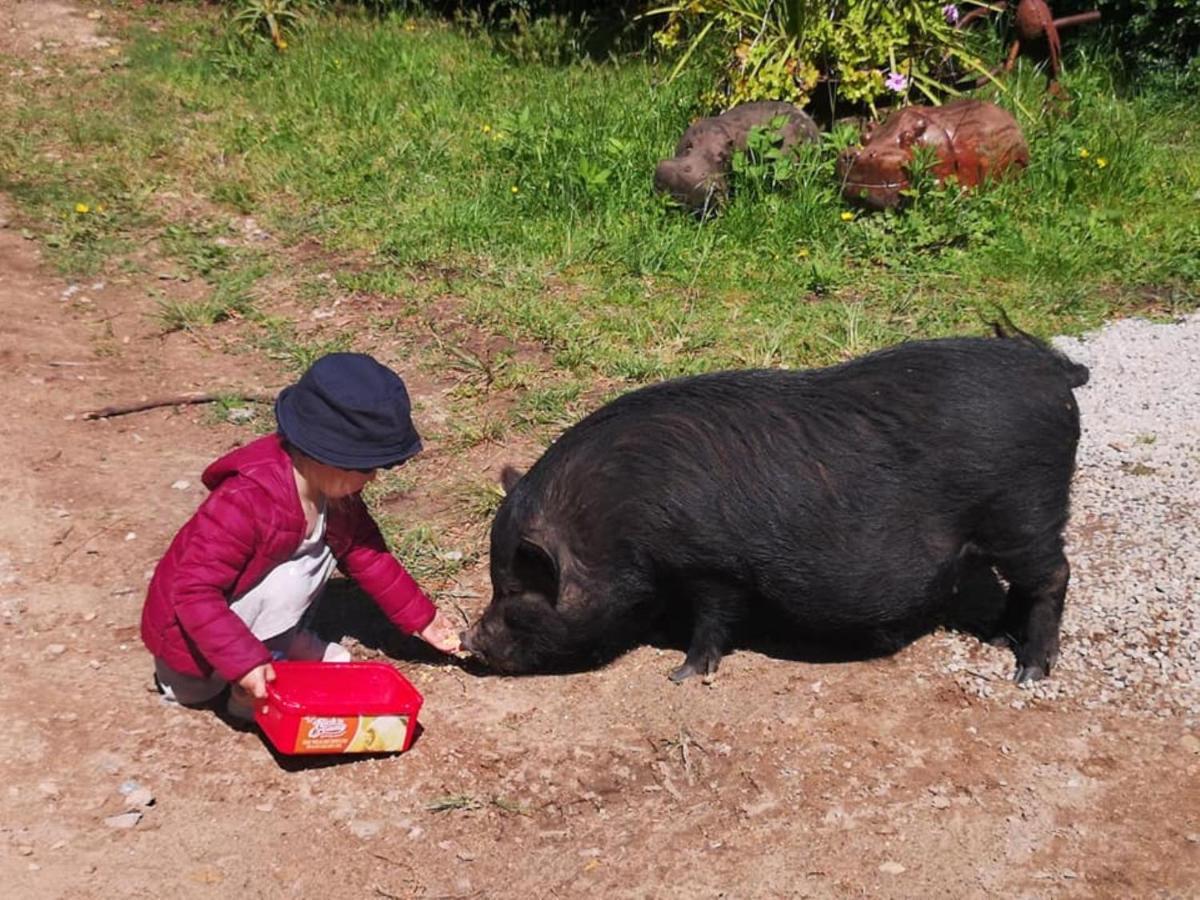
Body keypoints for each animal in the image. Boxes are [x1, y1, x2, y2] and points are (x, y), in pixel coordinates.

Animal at [463, 331, 1094, 681]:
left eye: (517, 591)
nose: (469, 642)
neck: (614, 523)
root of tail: (1053, 370)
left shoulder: (713, 567)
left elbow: (713, 621)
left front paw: (681, 674)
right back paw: (998, 637)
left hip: (1025, 510)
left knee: (1054, 575)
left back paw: (1029, 672)